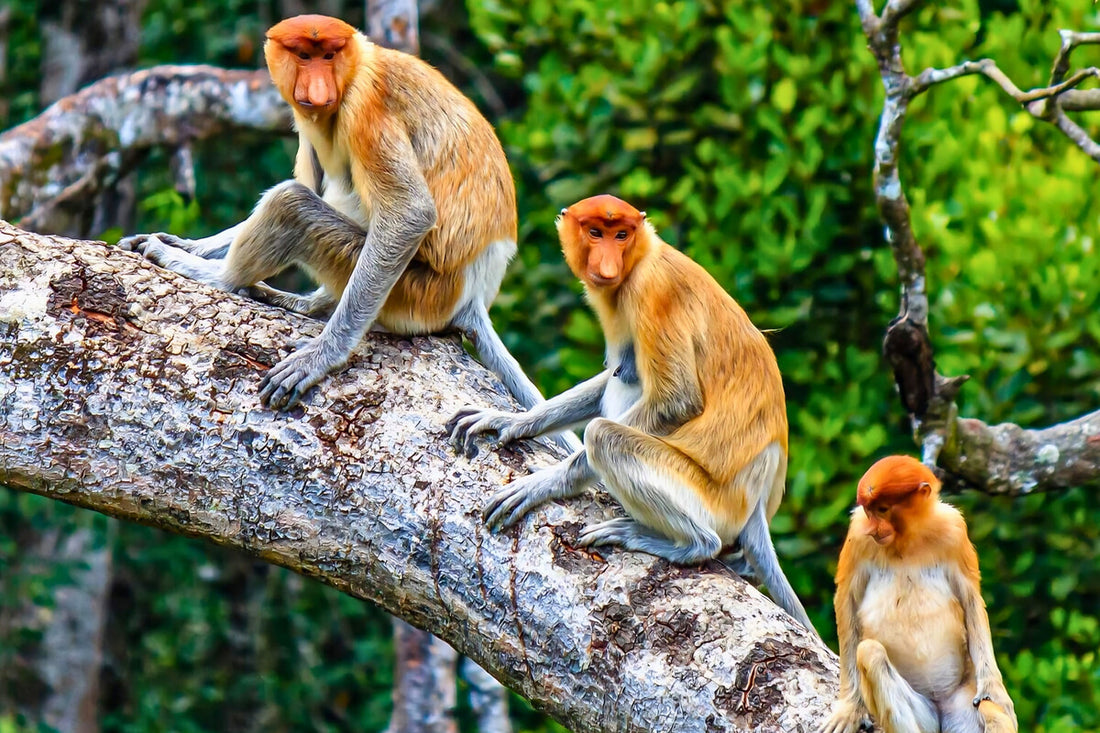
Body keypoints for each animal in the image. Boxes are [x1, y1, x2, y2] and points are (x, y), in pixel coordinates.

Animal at [118, 15, 580, 452]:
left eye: (329, 56)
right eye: (304, 56)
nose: (319, 90)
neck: (356, 66)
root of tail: (473, 296)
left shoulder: (364, 109)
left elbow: (410, 213)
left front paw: (319, 358)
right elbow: (311, 175)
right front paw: (187, 243)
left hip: (417, 293)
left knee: (292, 203)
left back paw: (218, 278)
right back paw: (299, 300)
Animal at [447, 194, 816, 634]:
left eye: (621, 235)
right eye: (596, 232)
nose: (608, 265)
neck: (643, 257)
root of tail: (757, 499)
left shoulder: (652, 293)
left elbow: (676, 401)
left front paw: (545, 483)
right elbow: (610, 375)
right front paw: (510, 421)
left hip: (708, 497)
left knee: (606, 434)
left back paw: (684, 543)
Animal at [820, 455, 1018, 733]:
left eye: (883, 509)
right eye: (869, 511)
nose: (873, 530)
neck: (907, 538)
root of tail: (940, 705)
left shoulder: (954, 530)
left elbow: (971, 600)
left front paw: (996, 691)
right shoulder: (858, 535)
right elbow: (846, 601)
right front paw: (849, 709)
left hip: (961, 700)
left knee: (987, 708)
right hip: (924, 712)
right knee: (870, 652)